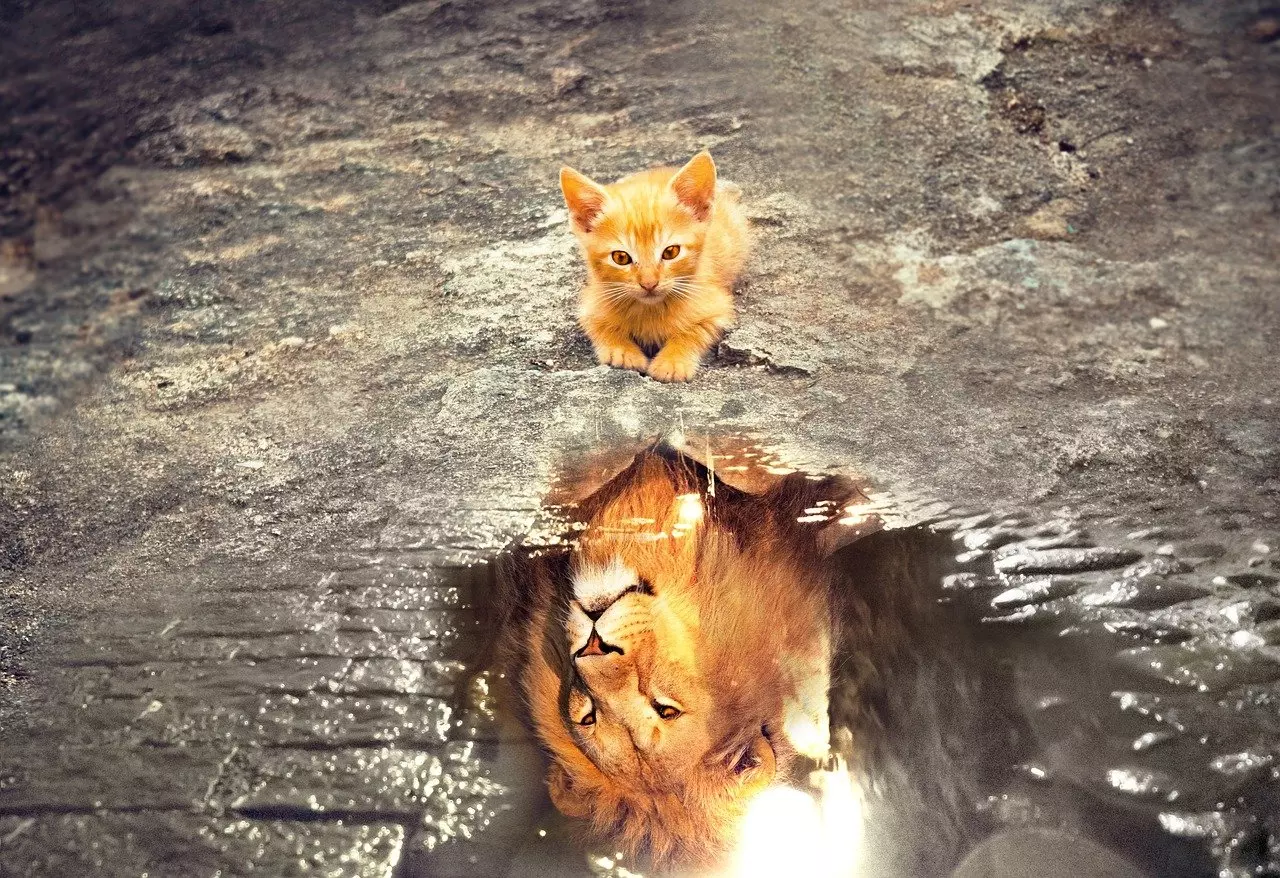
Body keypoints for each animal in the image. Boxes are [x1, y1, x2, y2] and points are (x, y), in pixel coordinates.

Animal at [560, 150, 747, 381]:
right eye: (621, 257)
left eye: (670, 252)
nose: (649, 284)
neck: (650, 309)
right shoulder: (591, 304)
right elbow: (599, 326)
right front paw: (623, 352)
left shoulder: (717, 307)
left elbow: (695, 331)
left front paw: (672, 362)